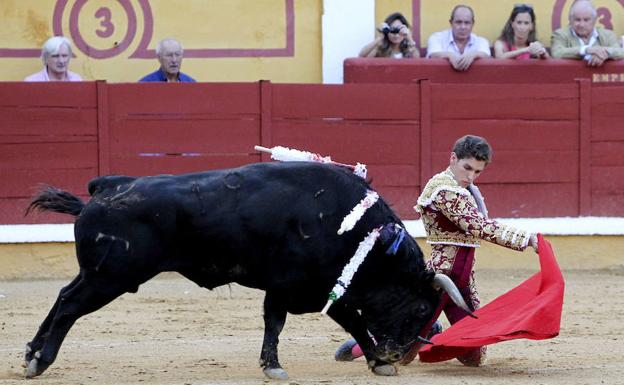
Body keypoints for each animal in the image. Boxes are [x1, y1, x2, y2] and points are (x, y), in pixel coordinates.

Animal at [25, 161, 472, 378]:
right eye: (421, 308)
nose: (404, 352)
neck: (355, 230)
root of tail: (106, 187)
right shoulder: (288, 284)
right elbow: (276, 321)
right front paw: (273, 366)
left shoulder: (322, 288)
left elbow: (352, 321)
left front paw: (378, 362)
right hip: (110, 277)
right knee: (69, 307)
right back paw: (40, 361)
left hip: (96, 274)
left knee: (62, 297)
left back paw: (30, 352)